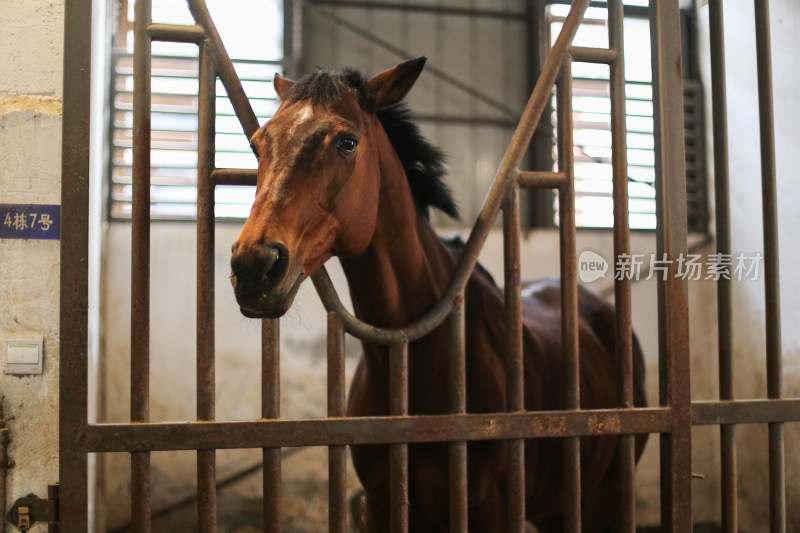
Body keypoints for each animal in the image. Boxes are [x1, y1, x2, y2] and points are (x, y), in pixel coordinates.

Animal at [230, 56, 644, 528]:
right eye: (258, 144)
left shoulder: (490, 508)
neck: (421, 352)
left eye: (347, 143)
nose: (253, 265)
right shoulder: (380, 503)